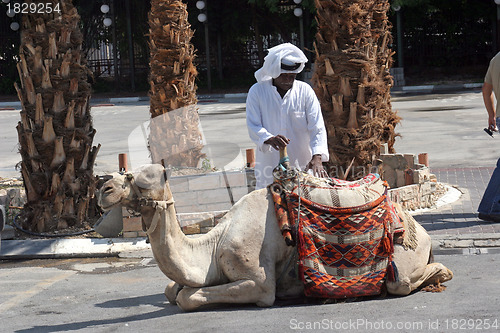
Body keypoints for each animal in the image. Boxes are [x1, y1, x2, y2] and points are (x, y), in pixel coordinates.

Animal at [97, 163, 454, 312]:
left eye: (142, 179)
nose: (104, 188)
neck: (212, 247)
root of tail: (419, 230)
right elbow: (172, 290)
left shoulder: (259, 282)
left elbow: (186, 297)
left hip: (403, 260)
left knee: (401, 282)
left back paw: (441, 274)